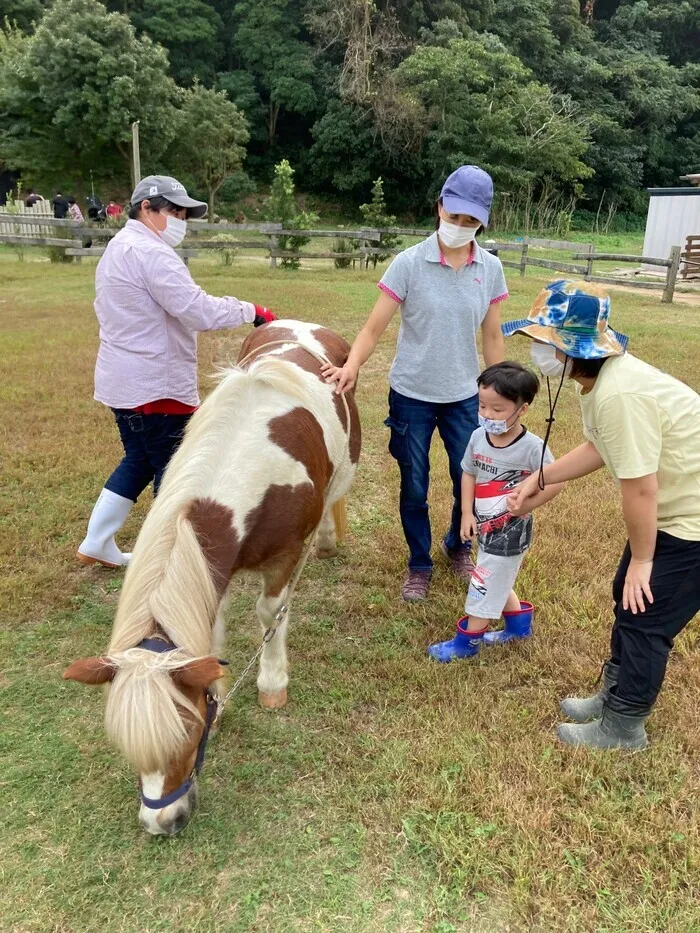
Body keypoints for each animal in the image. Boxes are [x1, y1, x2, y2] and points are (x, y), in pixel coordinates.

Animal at [64, 322, 360, 836]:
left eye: (188, 732)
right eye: (125, 744)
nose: (162, 822)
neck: (244, 462)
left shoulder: (283, 557)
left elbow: (270, 613)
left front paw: (272, 684)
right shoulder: (211, 568)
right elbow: (213, 628)